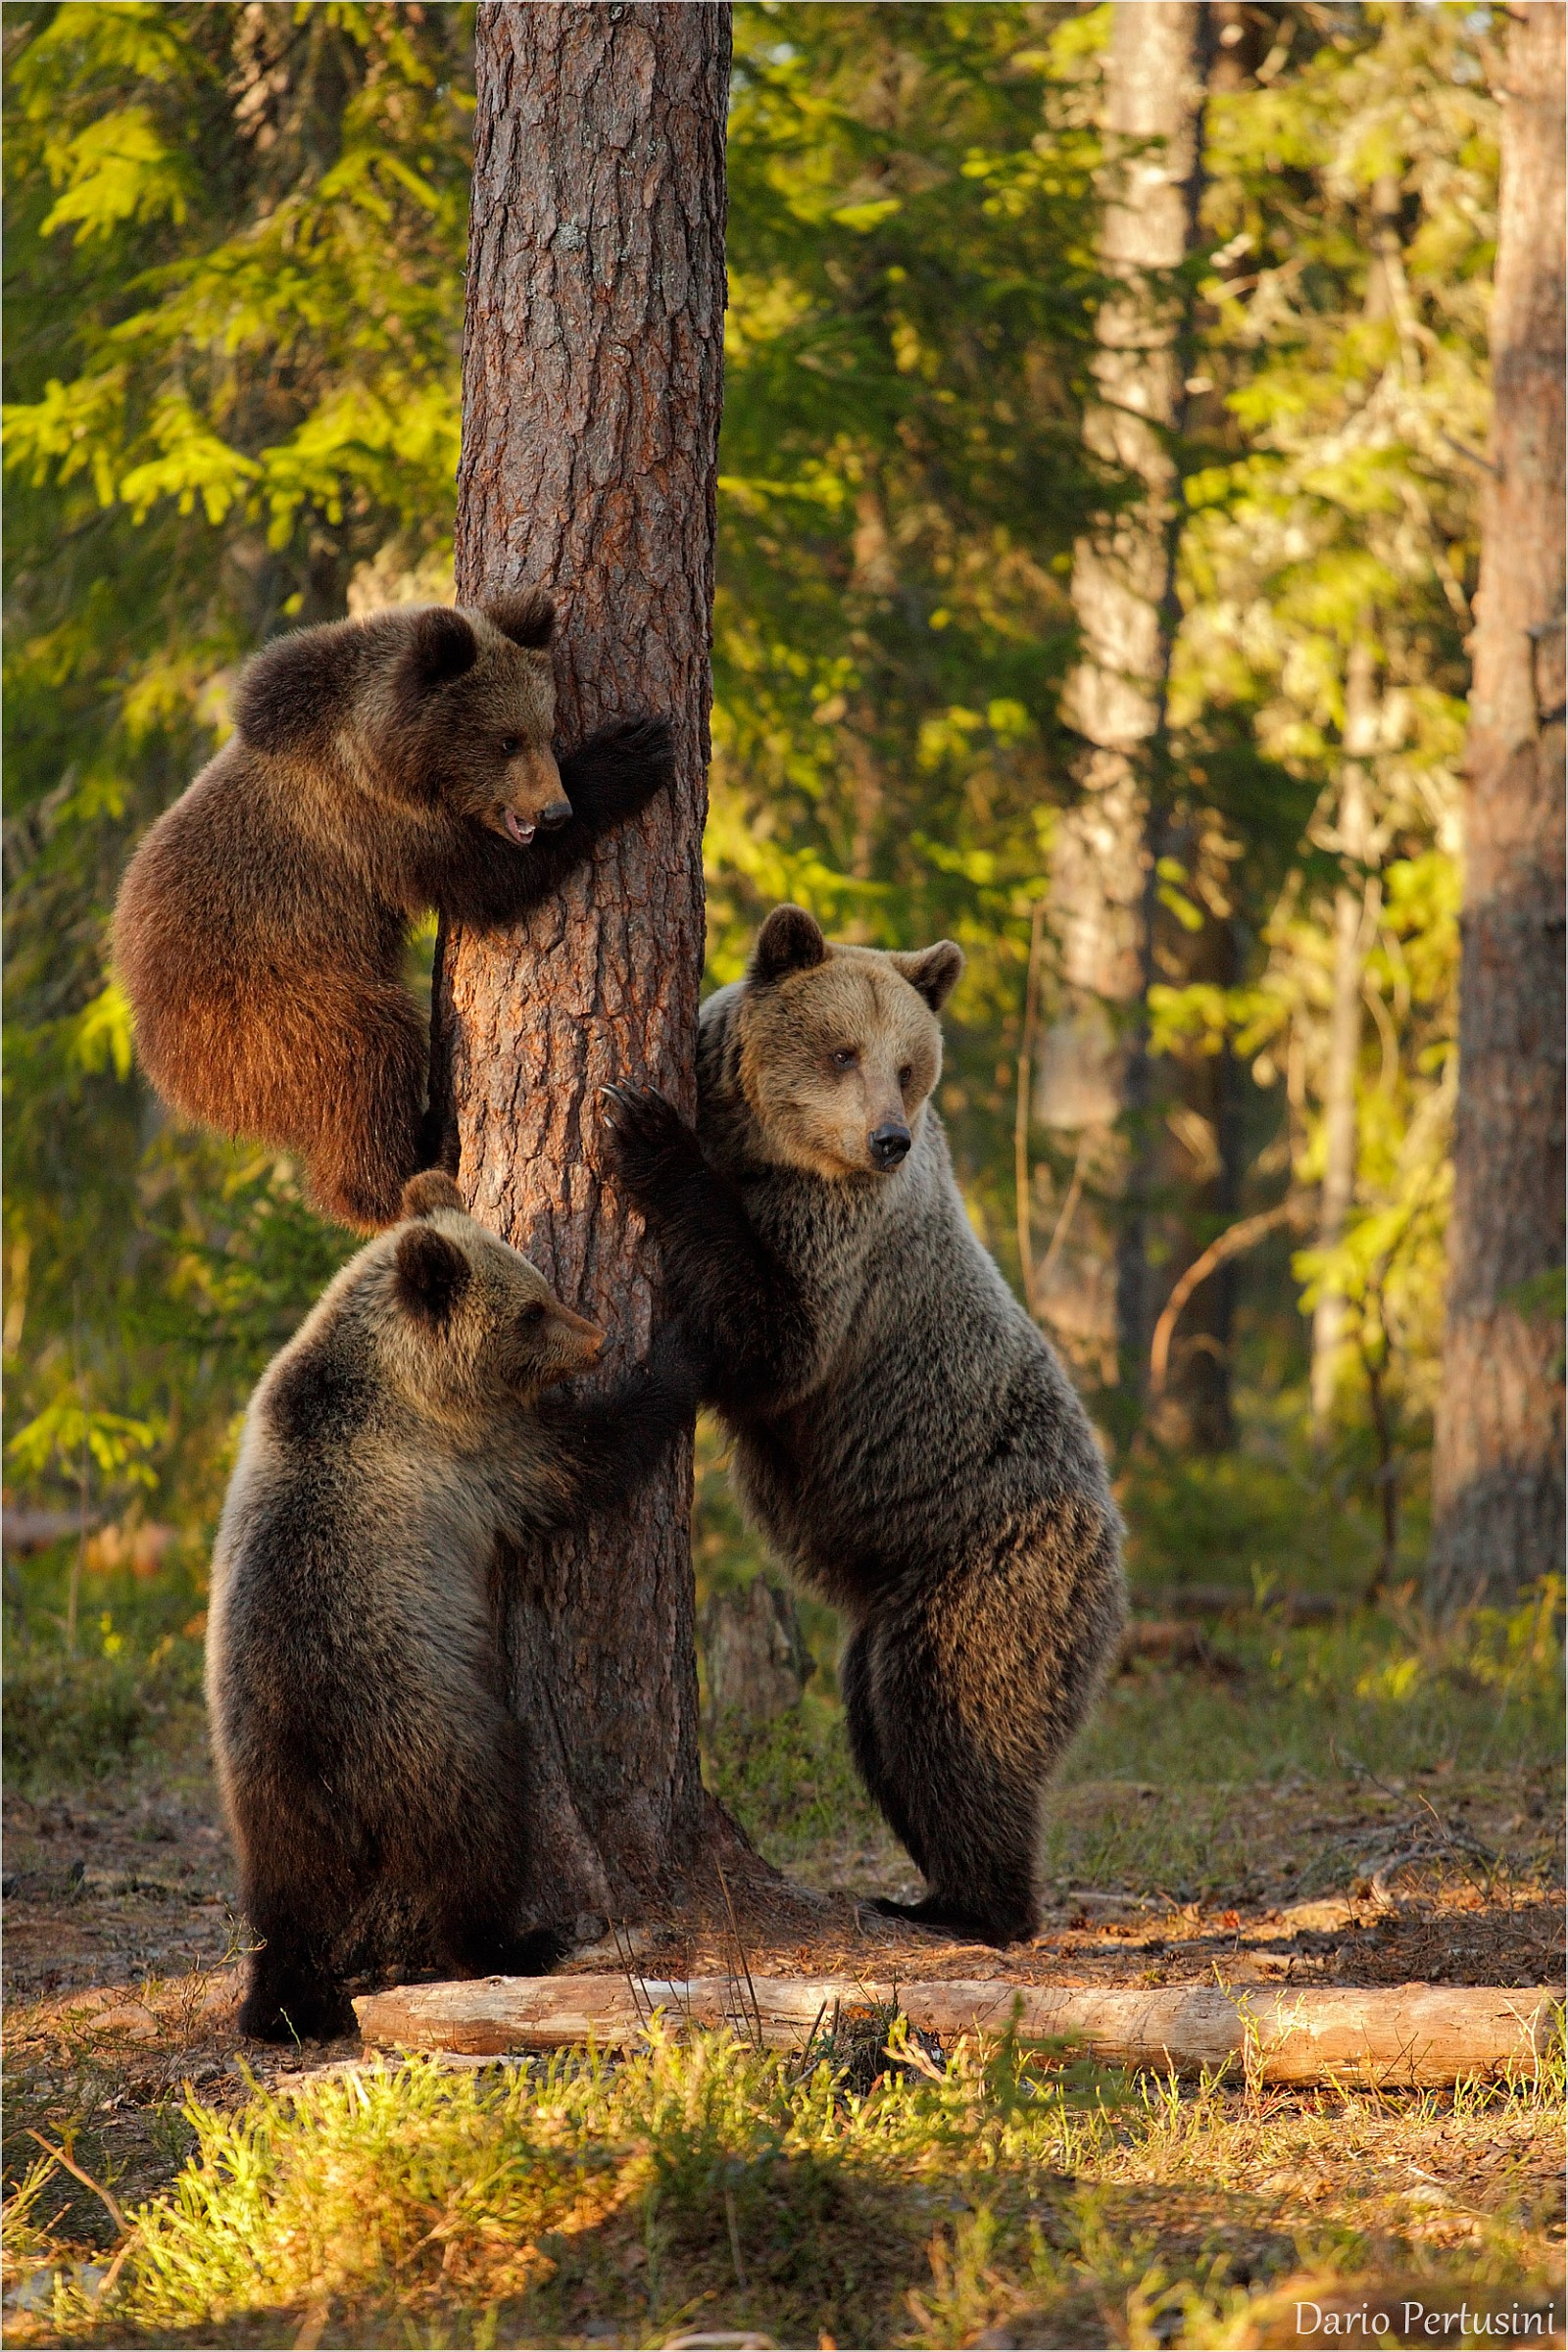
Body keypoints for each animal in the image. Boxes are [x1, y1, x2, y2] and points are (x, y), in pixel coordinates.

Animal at [113, 594, 674, 1230]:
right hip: (263, 1007)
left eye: (547, 731)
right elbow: (492, 879)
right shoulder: (375, 826)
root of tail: (158, 1053)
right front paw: (630, 752)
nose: (554, 810)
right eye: (506, 740)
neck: (386, 751)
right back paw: (412, 1164)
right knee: (364, 1053)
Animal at [206, 1168, 702, 2042]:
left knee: (285, 1894)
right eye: (532, 1309)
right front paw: (686, 1345)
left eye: (544, 1287)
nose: (597, 1337)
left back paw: (285, 2004)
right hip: (428, 1725)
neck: (395, 1373)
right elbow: (588, 1457)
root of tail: (319, 1751)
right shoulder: (472, 1455)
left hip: (260, 1772)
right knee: (474, 1837)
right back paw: (524, 1940)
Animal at [602, 904, 1126, 1947]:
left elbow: (776, 1346)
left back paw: (976, 1906)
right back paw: (934, 1888)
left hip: (995, 1563)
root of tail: (1113, 1543)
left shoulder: (834, 1237)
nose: (887, 1139)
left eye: (909, 1065)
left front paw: (647, 1132)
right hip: (892, 1599)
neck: (765, 1145)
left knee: (954, 1720)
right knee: (881, 1726)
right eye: (844, 1050)